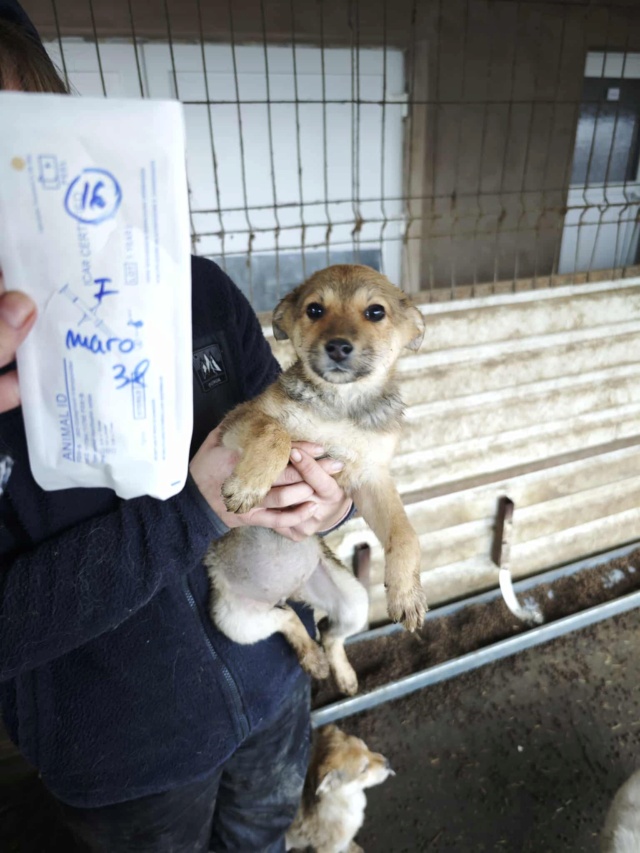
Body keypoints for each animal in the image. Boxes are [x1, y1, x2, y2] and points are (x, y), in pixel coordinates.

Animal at [204, 264, 426, 695]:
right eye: (314, 310)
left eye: (376, 312)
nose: (338, 347)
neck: (341, 405)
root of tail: (291, 588)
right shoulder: (240, 421)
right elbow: (276, 433)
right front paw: (248, 486)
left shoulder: (369, 476)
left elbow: (405, 532)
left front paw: (407, 592)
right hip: (233, 621)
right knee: (289, 619)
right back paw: (313, 659)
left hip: (353, 599)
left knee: (326, 630)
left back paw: (340, 673)